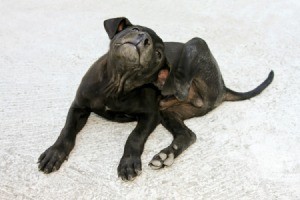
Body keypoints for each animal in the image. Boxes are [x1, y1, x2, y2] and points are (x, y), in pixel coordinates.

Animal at [38, 17, 274, 181]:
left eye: (159, 54)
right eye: (135, 29)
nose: (143, 40)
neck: (118, 84)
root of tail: (223, 86)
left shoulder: (150, 116)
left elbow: (134, 137)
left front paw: (129, 162)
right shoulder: (78, 107)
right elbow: (67, 131)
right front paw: (54, 154)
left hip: (194, 47)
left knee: (180, 78)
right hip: (169, 113)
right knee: (187, 135)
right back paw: (167, 154)